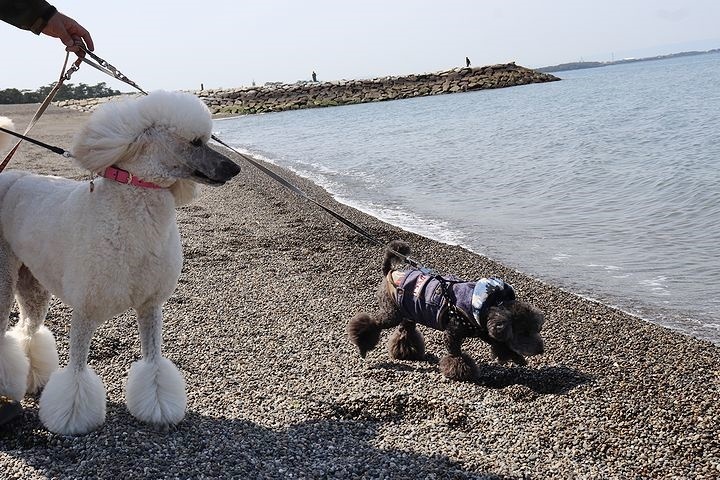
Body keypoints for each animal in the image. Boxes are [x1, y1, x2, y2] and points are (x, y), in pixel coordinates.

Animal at [346, 242, 544, 380]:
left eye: (535, 330)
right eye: (524, 332)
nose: (541, 350)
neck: (486, 305)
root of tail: (390, 272)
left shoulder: (485, 331)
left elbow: (501, 345)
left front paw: (517, 358)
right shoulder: (453, 333)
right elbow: (456, 355)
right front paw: (462, 372)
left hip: (408, 313)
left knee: (405, 331)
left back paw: (406, 351)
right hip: (392, 313)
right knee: (371, 323)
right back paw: (362, 345)